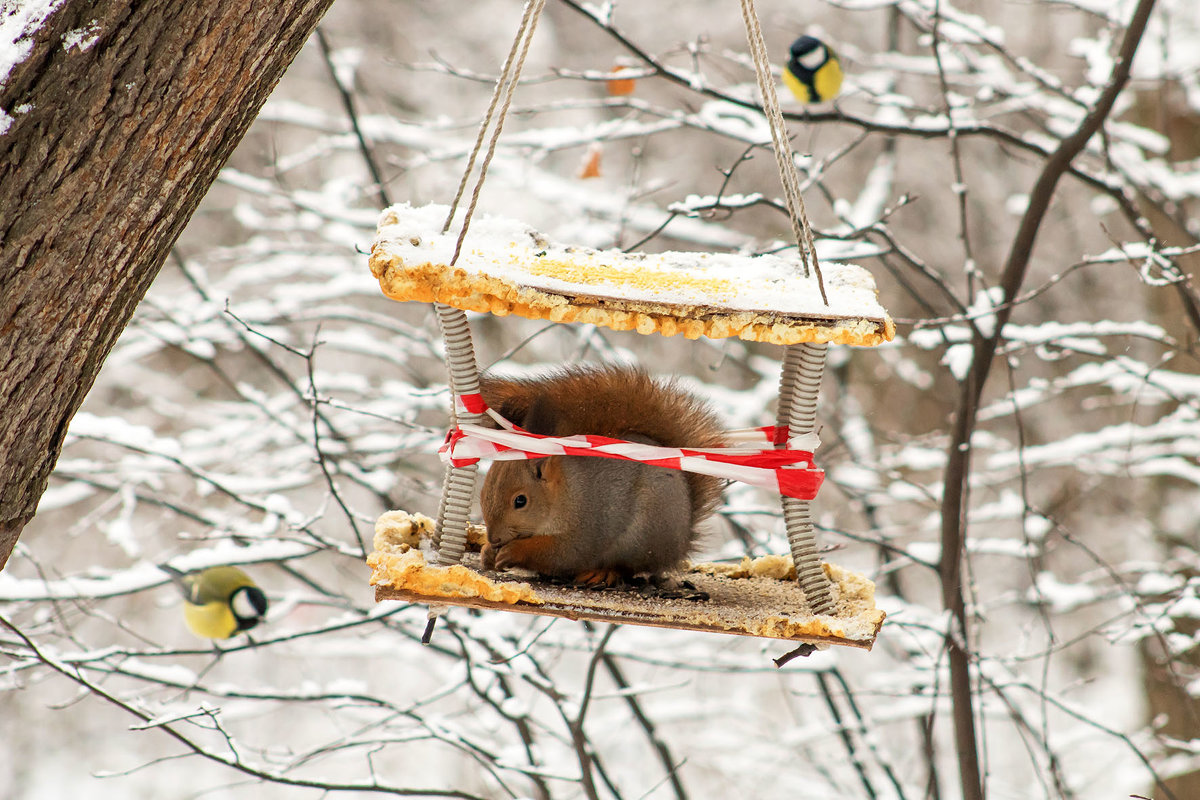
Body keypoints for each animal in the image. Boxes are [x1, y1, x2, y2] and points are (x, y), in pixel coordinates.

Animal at [475, 367, 720, 585]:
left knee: (628, 568)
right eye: (483, 493)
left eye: (520, 501)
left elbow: (561, 554)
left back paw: (603, 573)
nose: (494, 538)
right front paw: (487, 553)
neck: (566, 494)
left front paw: (513, 551)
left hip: (642, 538)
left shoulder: (586, 527)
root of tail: (682, 541)